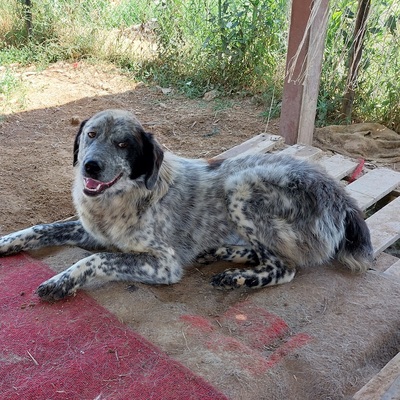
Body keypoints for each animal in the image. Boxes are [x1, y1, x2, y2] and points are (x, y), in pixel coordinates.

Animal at [0, 108, 376, 300]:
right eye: (91, 135)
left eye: (123, 144)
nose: (90, 166)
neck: (127, 196)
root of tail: (339, 194)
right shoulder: (92, 231)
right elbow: (42, 227)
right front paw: (6, 241)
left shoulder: (162, 263)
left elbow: (97, 258)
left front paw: (63, 280)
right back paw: (220, 252)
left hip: (242, 185)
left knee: (284, 266)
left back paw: (239, 278)